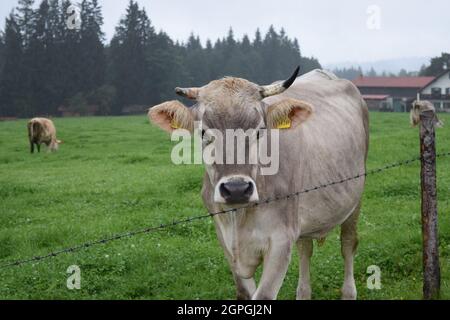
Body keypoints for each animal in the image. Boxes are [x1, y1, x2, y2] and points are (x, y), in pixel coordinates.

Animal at [149, 67, 368, 300]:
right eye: (203, 132)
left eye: (259, 131)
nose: (236, 189)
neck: (240, 216)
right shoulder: (225, 239)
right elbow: (245, 292)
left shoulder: (281, 239)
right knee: (305, 248)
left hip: (355, 199)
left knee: (348, 243)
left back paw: (348, 292)